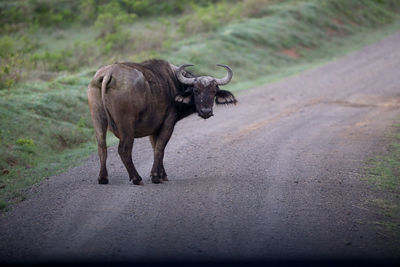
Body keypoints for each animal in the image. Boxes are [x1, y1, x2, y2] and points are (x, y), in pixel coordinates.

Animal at [87, 59, 236, 185]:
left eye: (214, 91)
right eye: (196, 90)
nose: (206, 111)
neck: (174, 83)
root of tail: (109, 72)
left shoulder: (153, 129)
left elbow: (155, 148)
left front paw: (161, 174)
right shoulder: (168, 124)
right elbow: (160, 148)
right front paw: (156, 176)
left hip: (97, 120)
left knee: (102, 147)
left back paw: (103, 178)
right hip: (126, 126)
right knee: (124, 150)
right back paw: (136, 178)